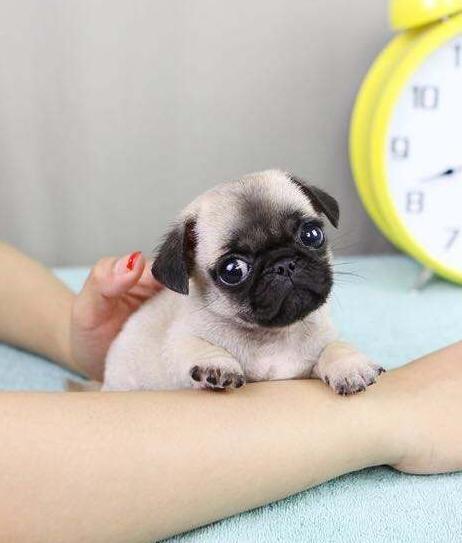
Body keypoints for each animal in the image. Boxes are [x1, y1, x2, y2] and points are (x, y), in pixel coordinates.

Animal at [103, 170, 384, 394]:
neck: (275, 336)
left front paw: (350, 365)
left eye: (312, 235)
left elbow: (335, 346)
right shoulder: (179, 342)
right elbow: (192, 345)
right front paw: (216, 365)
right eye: (233, 270)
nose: (283, 264)